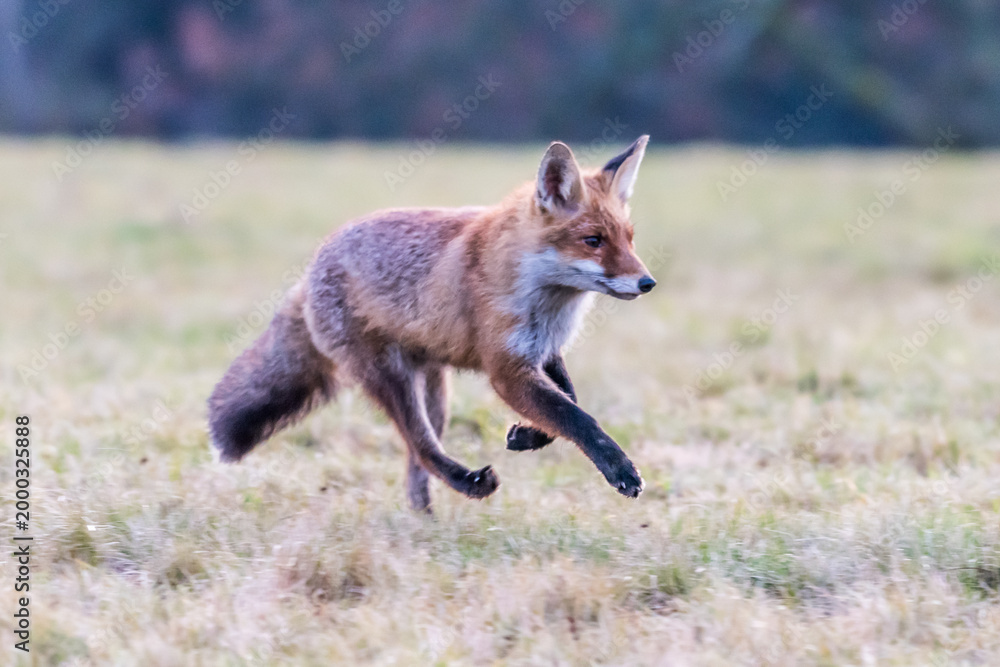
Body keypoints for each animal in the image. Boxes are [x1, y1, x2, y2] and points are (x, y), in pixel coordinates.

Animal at [208, 136, 657, 512]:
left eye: (629, 239)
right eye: (593, 241)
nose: (647, 282)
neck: (545, 295)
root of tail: (312, 267)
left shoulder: (543, 351)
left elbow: (568, 404)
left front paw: (527, 436)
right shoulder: (506, 368)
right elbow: (576, 416)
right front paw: (619, 469)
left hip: (436, 390)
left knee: (415, 461)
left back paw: (424, 522)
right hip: (393, 380)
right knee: (422, 448)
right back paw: (470, 485)